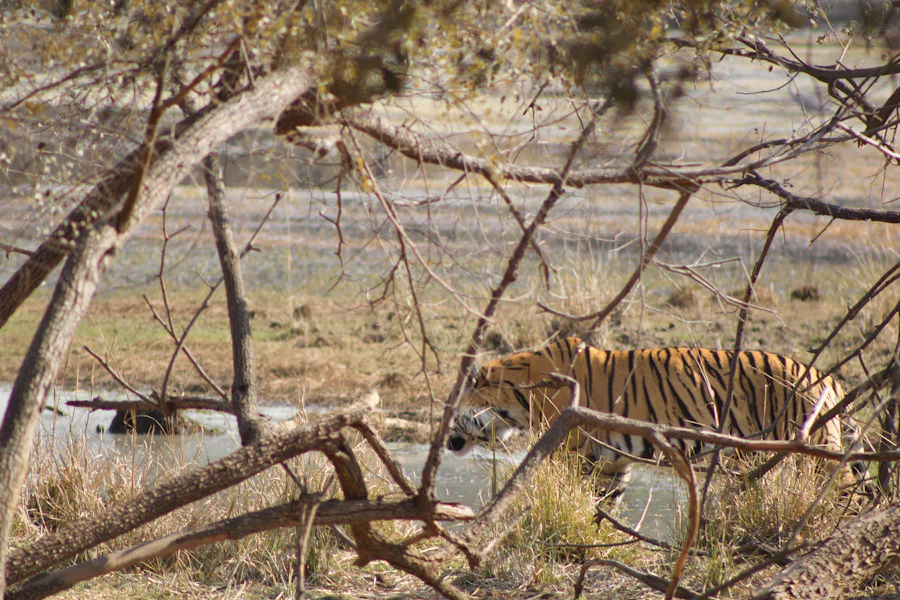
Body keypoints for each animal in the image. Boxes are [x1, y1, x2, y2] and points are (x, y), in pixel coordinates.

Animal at [446, 337, 865, 502]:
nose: (446, 440)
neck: (517, 397)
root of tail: (827, 377)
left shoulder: (570, 452)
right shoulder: (610, 463)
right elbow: (603, 505)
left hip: (816, 455)